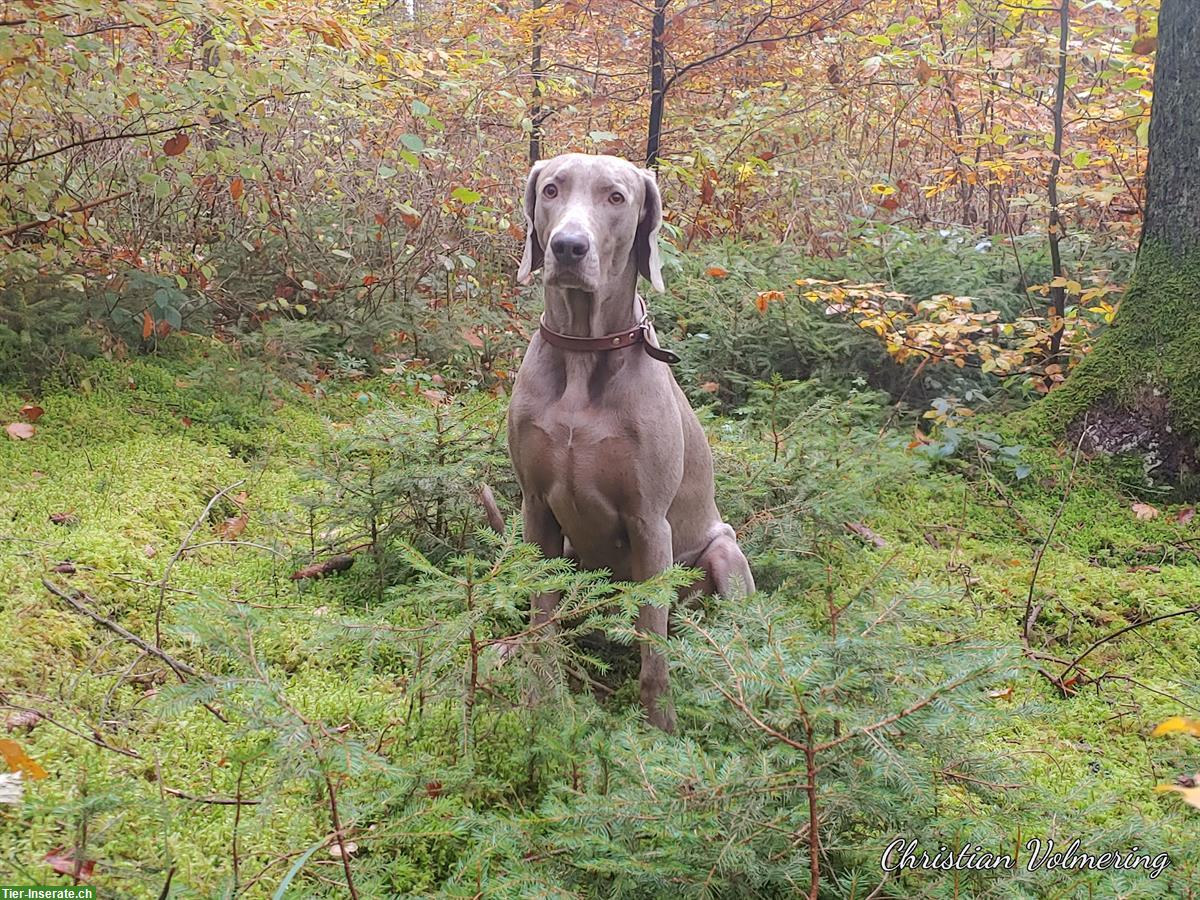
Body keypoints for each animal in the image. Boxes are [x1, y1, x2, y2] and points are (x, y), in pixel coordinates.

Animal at [508, 154, 753, 734]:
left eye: (616, 197)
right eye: (551, 190)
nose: (568, 247)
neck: (583, 351)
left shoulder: (649, 522)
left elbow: (653, 644)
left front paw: (661, 729)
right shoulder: (536, 508)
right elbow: (541, 617)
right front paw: (539, 700)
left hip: (724, 553)